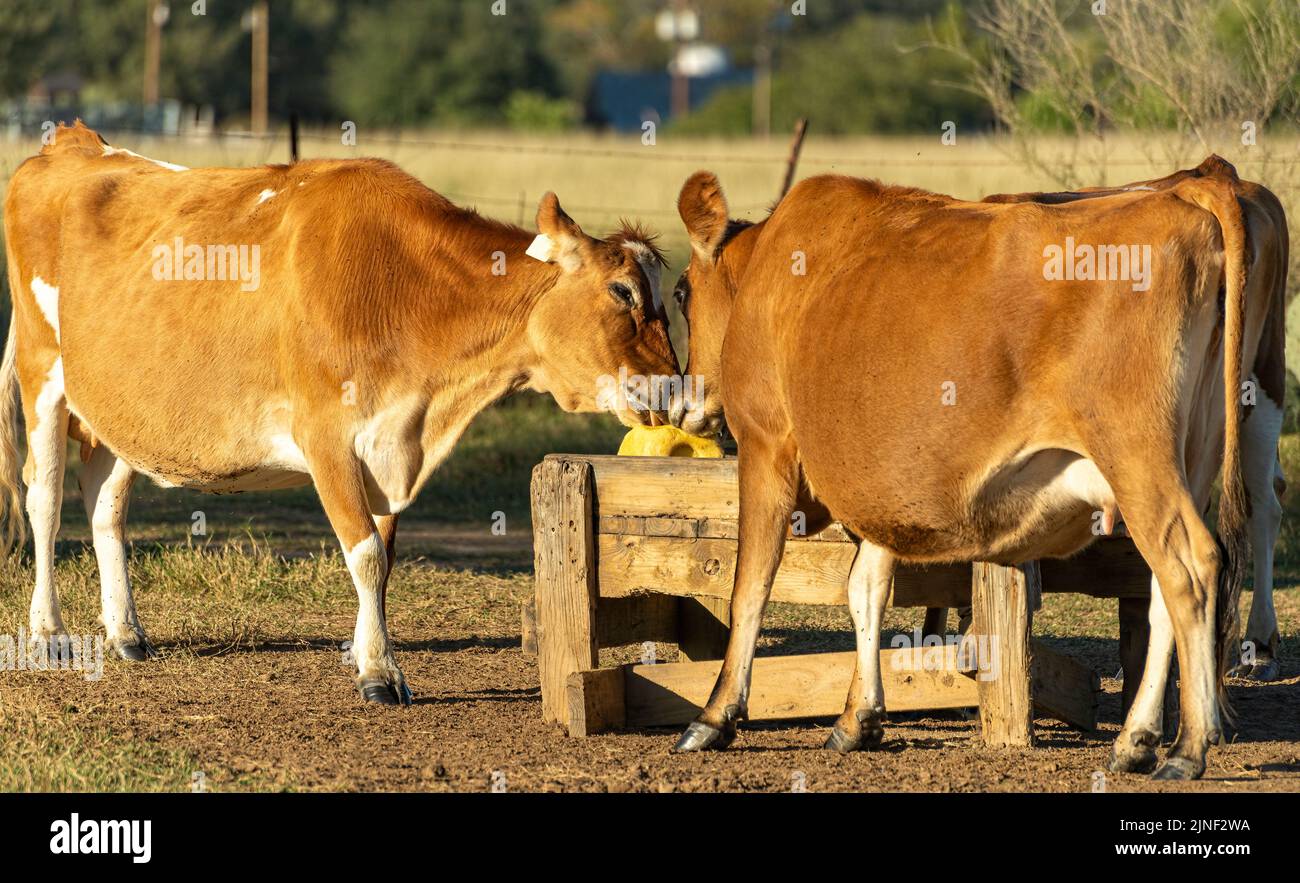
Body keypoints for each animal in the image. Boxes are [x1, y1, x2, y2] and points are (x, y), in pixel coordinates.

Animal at [0, 122, 679, 705]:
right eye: (621, 292)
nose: (675, 386)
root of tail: (75, 143)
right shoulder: (325, 436)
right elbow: (365, 554)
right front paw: (381, 672)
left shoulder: (390, 440)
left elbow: (385, 554)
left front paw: (362, 652)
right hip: (43, 374)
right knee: (45, 499)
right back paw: (49, 631)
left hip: (120, 408)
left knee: (104, 504)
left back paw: (125, 632)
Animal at [668, 161, 1263, 779]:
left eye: (682, 292)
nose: (682, 403)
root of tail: (1193, 193)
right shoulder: (882, 489)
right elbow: (866, 588)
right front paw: (860, 718)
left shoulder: (766, 443)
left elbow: (751, 586)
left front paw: (714, 716)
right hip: (1192, 457)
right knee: (1163, 586)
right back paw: (1135, 739)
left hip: (1137, 456)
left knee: (1190, 568)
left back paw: (1187, 747)